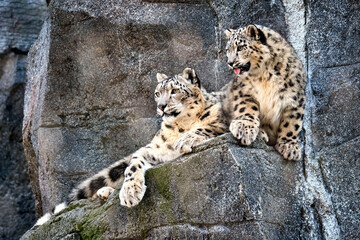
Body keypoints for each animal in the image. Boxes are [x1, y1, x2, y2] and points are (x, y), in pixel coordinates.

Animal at [35, 67, 226, 225]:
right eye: (157, 93)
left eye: (174, 91)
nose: (161, 106)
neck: (181, 125)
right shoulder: (153, 149)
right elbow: (133, 164)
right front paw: (130, 192)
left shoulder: (224, 122)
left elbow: (207, 127)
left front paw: (185, 141)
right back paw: (105, 191)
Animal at [221, 24, 306, 160]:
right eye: (227, 50)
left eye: (240, 47)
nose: (230, 62)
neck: (265, 75)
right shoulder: (243, 90)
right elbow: (247, 108)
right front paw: (244, 128)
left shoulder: (295, 97)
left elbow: (292, 122)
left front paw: (289, 146)